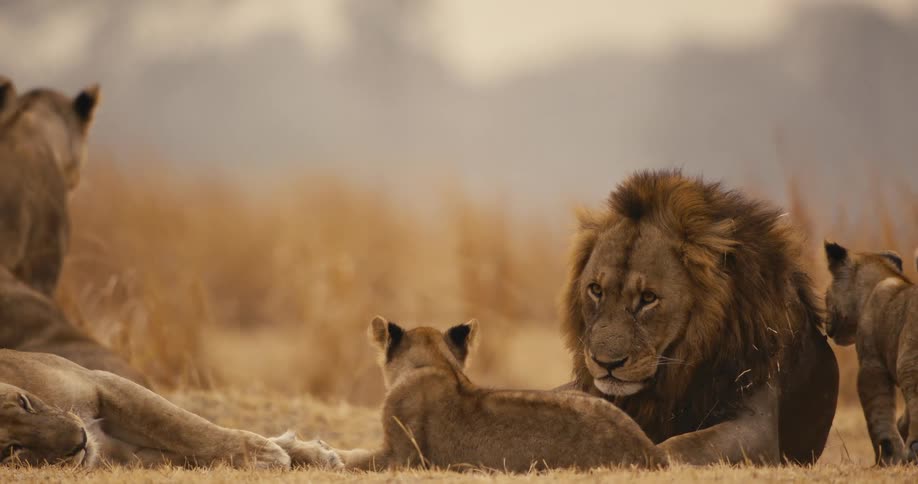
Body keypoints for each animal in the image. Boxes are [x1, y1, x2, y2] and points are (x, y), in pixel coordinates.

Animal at [0, 349, 343, 469]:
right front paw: (269, 455)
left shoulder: (100, 381)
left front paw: (269, 453)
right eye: (11, 450)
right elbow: (189, 447)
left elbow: (185, 427)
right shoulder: (126, 456)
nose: (79, 441)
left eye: (25, 402)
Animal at [824, 241, 918, 465]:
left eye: (826, 295)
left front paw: (888, 455)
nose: (825, 322)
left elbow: (878, 414)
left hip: (908, 363)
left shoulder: (871, 366)